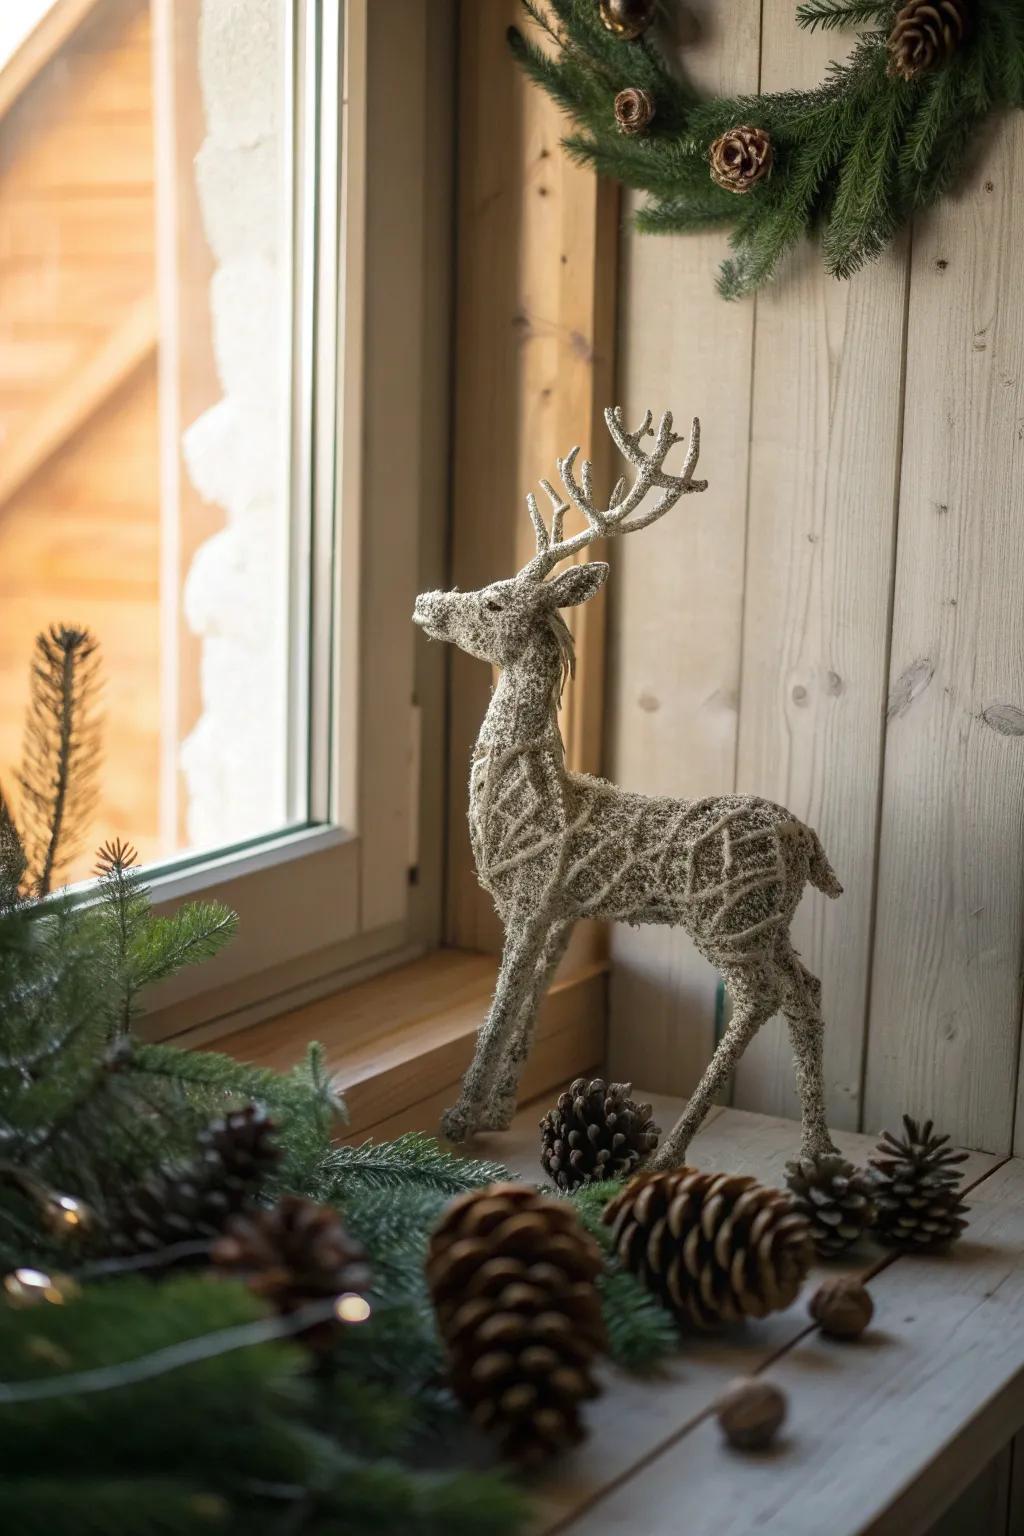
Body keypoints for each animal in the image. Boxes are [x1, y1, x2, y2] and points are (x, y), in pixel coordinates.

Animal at [413, 406, 843, 1171]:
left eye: (491, 600)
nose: (426, 602)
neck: (528, 797)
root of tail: (805, 843)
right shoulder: (564, 908)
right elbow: (533, 1000)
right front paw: (498, 1108)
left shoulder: (529, 898)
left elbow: (500, 1005)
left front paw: (460, 1118)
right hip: (769, 922)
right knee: (806, 989)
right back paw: (816, 1150)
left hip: (725, 921)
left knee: (757, 999)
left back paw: (670, 1150)